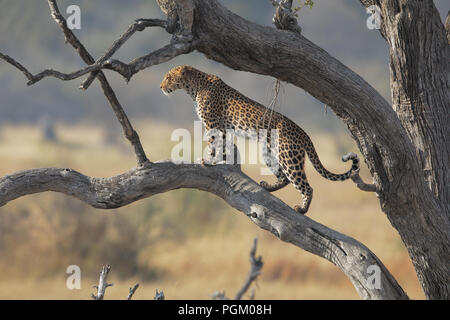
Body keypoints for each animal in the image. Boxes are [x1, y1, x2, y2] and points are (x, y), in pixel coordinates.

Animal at [160, 65, 360, 215]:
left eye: (168, 77)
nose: (161, 87)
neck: (193, 87)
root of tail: (304, 133)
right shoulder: (222, 128)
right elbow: (225, 145)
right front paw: (222, 159)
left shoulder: (213, 125)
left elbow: (214, 145)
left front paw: (209, 160)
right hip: (269, 152)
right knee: (284, 178)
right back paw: (268, 188)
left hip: (289, 156)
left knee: (304, 185)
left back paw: (302, 209)